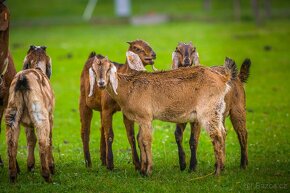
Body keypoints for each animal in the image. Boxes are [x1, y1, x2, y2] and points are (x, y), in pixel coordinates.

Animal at [5, 45, 54, 182]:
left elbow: (30, 140)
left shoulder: (28, 125)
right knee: (43, 142)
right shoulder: (50, 117)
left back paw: (13, 177)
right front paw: (52, 167)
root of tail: (22, 80)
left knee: (11, 144)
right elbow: (49, 141)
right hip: (40, 116)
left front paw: (30, 166)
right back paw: (47, 176)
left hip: (12, 115)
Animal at [91, 52, 238, 176]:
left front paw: (148, 171)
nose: (101, 83)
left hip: (208, 110)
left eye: (108, 68)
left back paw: (217, 172)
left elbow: (146, 140)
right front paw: (142, 170)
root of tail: (223, 78)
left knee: (216, 135)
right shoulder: (140, 118)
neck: (128, 88)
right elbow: (140, 139)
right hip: (217, 110)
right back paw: (221, 167)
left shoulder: (145, 117)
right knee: (223, 132)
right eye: (93, 69)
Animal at [171, 42, 250, 172]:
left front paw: (192, 167)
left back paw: (243, 165)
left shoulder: (197, 118)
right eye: (178, 49)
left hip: (238, 108)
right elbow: (178, 136)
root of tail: (238, 77)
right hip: (219, 114)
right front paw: (182, 164)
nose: (187, 61)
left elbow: (193, 140)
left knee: (242, 133)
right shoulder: (179, 116)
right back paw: (221, 165)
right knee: (223, 132)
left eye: (193, 49)